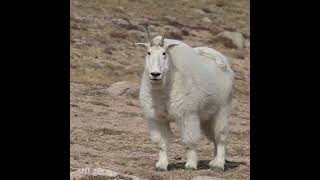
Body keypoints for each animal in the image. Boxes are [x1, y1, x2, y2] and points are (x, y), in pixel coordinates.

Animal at [134, 26, 232, 171]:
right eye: (148, 53)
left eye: (164, 53)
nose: (155, 74)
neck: (163, 89)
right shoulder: (157, 118)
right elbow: (161, 142)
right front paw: (161, 165)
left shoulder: (187, 114)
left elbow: (190, 140)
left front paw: (190, 165)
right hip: (207, 115)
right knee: (213, 137)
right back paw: (215, 160)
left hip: (223, 107)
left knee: (221, 136)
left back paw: (218, 164)